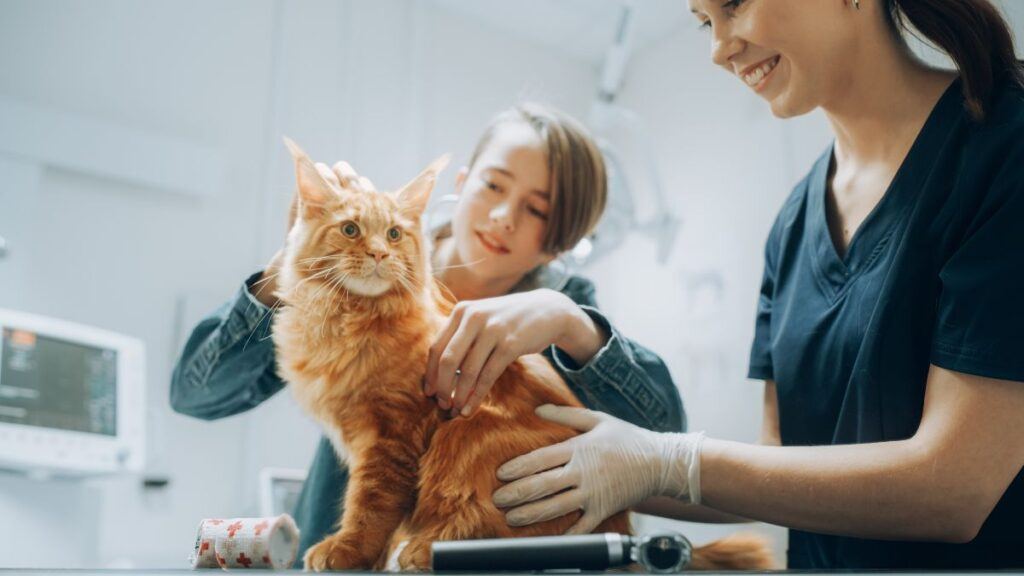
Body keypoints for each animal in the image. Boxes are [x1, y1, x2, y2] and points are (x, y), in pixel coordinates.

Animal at [272, 138, 774, 569]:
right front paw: (366, 555)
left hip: (465, 435)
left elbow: (371, 505)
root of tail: (624, 533)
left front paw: (348, 550)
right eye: (350, 230)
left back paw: (426, 550)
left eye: (394, 234)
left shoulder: (393, 434)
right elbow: (378, 509)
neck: (351, 319)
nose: (378, 254)